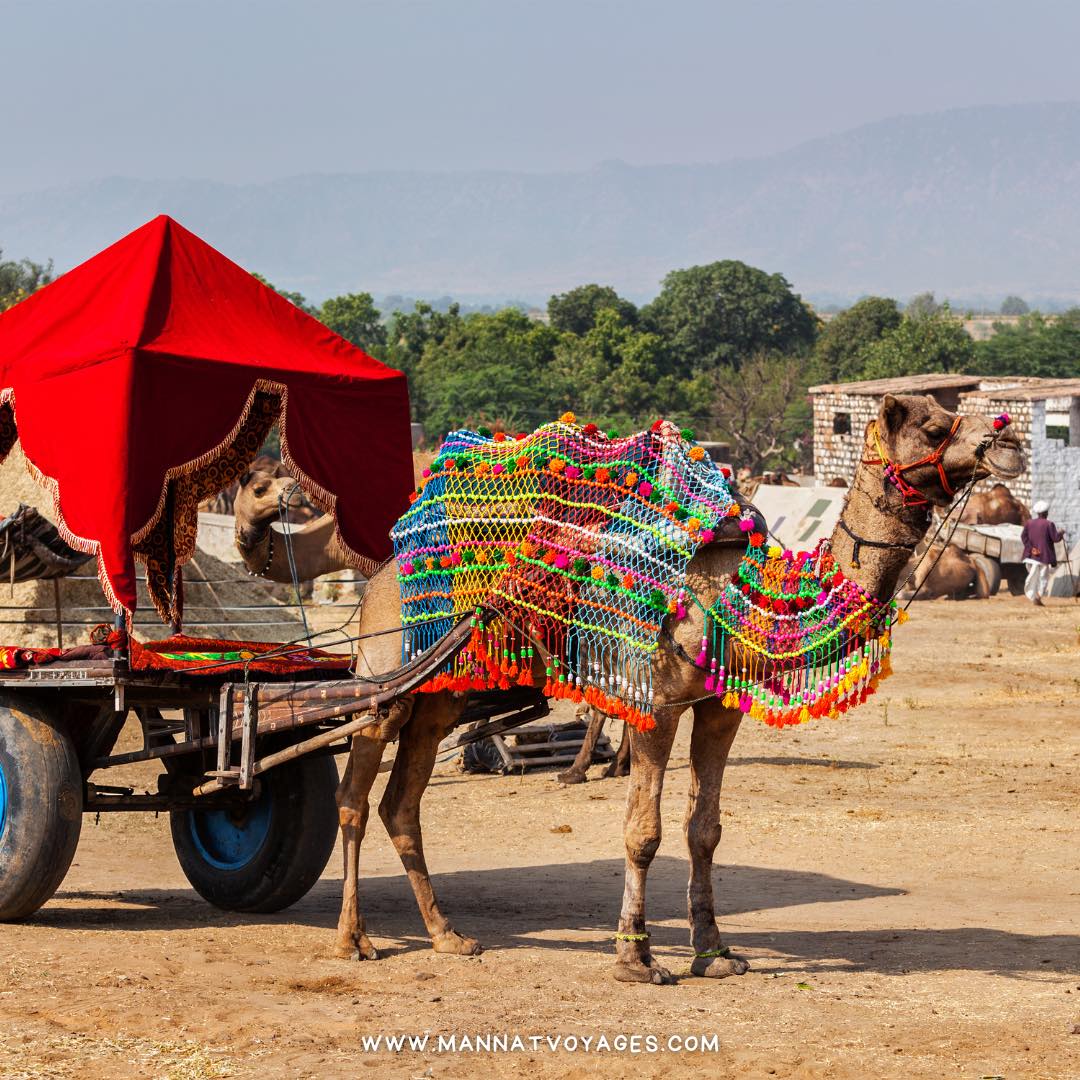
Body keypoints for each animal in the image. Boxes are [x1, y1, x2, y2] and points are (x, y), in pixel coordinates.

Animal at [328, 399, 1019, 989]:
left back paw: (447, 936)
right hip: (386, 680)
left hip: (442, 693)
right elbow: (644, 831)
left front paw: (714, 952)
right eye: (935, 426)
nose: (1009, 443)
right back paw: (353, 940)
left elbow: (703, 830)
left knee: (401, 803)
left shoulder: (718, 707)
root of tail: (381, 572)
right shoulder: (656, 701)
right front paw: (636, 959)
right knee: (354, 796)